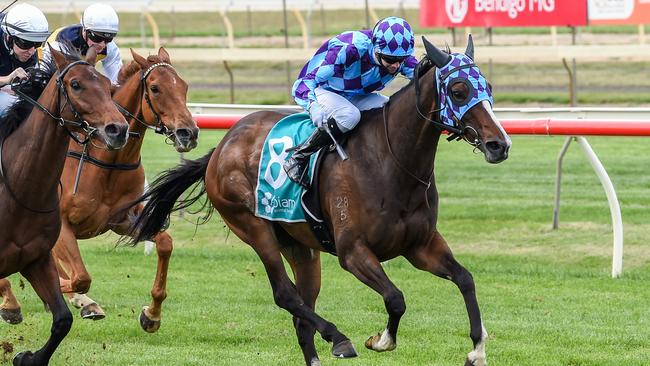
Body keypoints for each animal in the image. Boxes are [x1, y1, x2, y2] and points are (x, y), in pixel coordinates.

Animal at [0, 45, 128, 366]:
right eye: (76, 84)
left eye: (107, 85)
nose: (118, 129)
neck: (22, 188)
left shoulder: (37, 259)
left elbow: (62, 320)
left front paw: (28, 357)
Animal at [0, 47, 199, 334]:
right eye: (155, 88)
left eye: (184, 86)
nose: (188, 133)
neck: (107, 163)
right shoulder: (63, 227)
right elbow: (80, 277)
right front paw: (77, 298)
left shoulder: (121, 220)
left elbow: (165, 244)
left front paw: (151, 315)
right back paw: (11, 302)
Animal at [125, 35, 506, 364]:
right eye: (458, 90)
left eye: (487, 88)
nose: (499, 144)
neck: (391, 161)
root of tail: (221, 147)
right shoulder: (353, 252)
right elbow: (395, 298)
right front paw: (381, 340)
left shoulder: (420, 245)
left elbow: (465, 279)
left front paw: (477, 350)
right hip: (252, 226)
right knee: (285, 295)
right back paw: (339, 337)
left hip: (300, 247)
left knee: (301, 316)